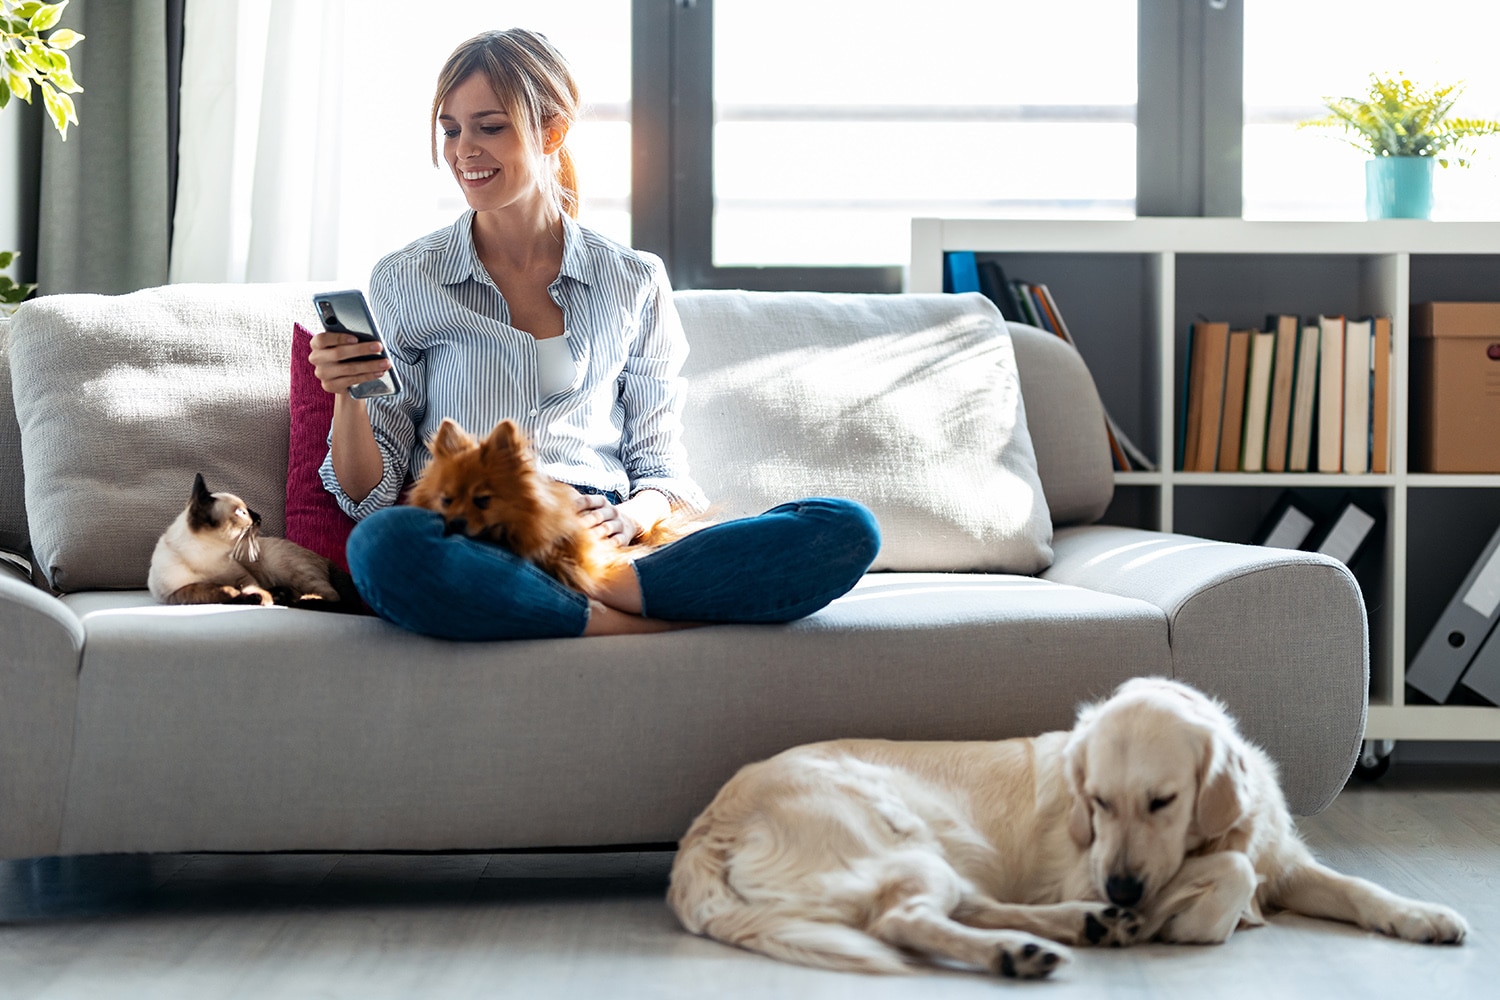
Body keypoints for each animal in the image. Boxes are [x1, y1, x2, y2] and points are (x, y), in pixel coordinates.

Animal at [669, 677, 1464, 983]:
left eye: (1162, 801)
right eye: (1098, 801)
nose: (1122, 890)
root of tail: (706, 826)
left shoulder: (1284, 861)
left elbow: (1357, 888)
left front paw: (1423, 915)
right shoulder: (1089, 861)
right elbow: (1229, 879)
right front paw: (1189, 919)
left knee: (962, 907)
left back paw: (1077, 928)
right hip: (905, 839)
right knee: (904, 919)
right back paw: (1025, 951)